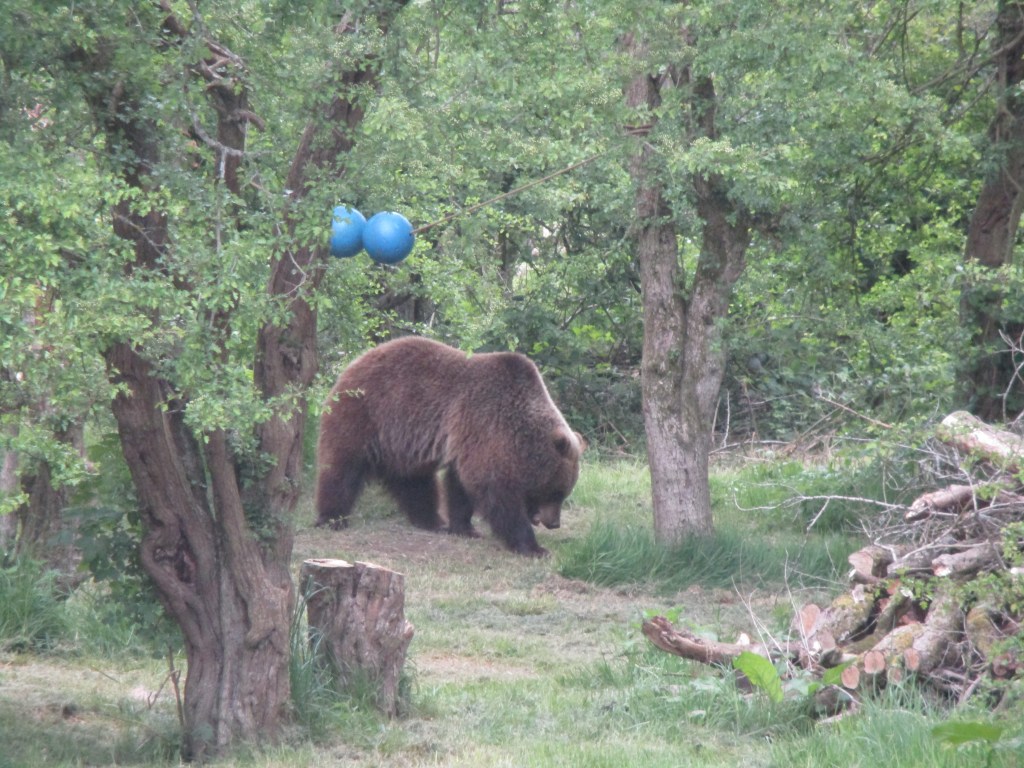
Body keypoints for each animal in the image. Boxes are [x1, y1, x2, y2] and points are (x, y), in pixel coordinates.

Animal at [314, 336, 584, 555]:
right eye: (557, 491)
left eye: (564, 492)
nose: (554, 523)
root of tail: (353, 362)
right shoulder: (486, 428)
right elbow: (496, 493)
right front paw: (534, 547)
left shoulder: (469, 441)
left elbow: (461, 488)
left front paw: (464, 528)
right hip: (364, 414)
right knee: (342, 468)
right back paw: (331, 518)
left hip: (401, 442)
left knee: (415, 482)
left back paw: (432, 521)